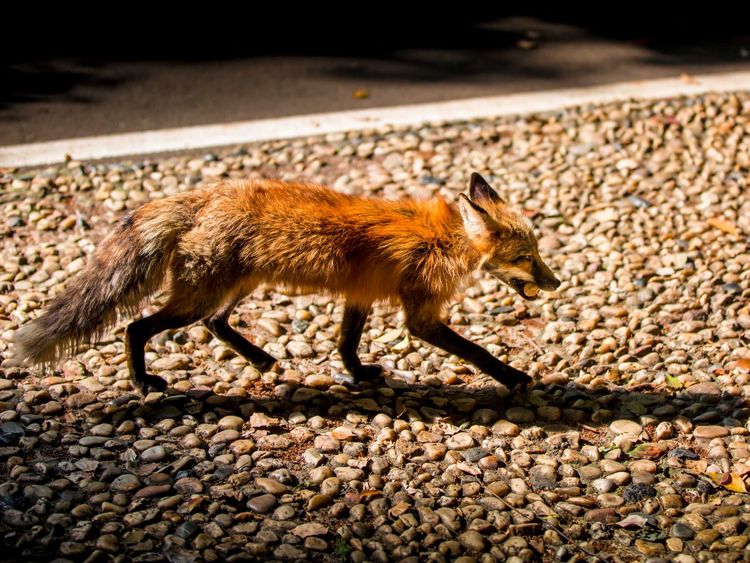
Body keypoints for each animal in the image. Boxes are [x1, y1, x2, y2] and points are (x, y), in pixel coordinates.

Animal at [8, 173, 560, 396]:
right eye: (527, 258)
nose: (556, 283)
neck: (442, 239)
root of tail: (204, 197)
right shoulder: (420, 316)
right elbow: (477, 352)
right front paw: (513, 378)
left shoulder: (359, 296)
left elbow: (346, 344)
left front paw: (359, 375)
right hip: (199, 297)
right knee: (135, 329)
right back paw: (144, 382)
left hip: (233, 290)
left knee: (216, 324)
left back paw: (261, 361)